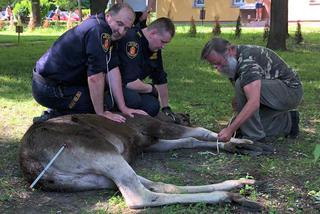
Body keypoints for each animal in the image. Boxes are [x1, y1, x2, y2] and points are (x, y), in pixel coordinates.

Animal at [18, 114, 272, 210]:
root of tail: (30, 163)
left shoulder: (151, 142)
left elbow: (189, 140)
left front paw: (238, 145)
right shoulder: (155, 128)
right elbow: (197, 132)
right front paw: (240, 141)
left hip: (90, 177)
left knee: (155, 184)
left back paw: (238, 184)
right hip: (101, 150)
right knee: (139, 196)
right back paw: (228, 195)